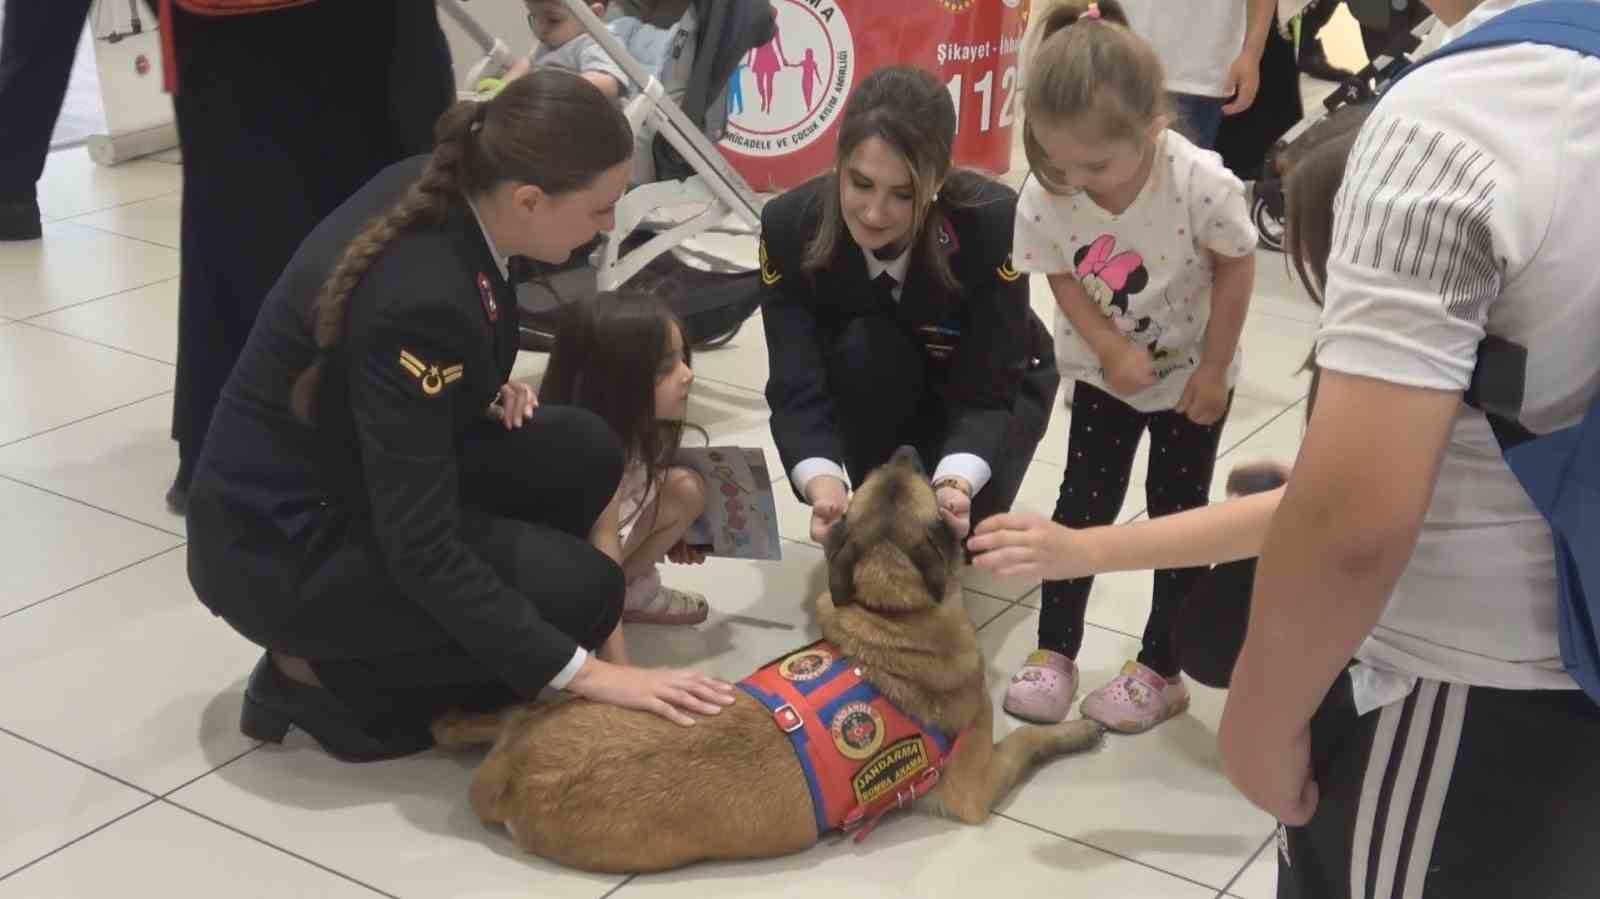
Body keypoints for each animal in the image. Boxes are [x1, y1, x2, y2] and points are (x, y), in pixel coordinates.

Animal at [432, 444, 1107, 870]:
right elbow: (1027, 741)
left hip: (554, 704)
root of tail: (508, 771)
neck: (889, 612)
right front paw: (1076, 731)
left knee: (461, 723)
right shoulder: (974, 782)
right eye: (918, 489)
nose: (910, 447)